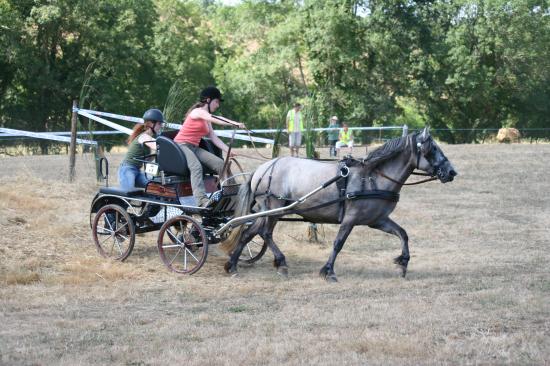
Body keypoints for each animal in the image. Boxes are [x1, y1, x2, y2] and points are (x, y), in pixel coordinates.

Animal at [220, 127, 458, 282]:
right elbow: (338, 244)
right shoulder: (350, 219)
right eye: (432, 149)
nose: (452, 172)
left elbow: (403, 234)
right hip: (274, 208)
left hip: (269, 210)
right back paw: (279, 262)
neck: (371, 177)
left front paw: (403, 263)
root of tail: (262, 169)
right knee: (264, 232)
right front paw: (328, 271)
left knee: (250, 231)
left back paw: (234, 264)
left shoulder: (378, 220)